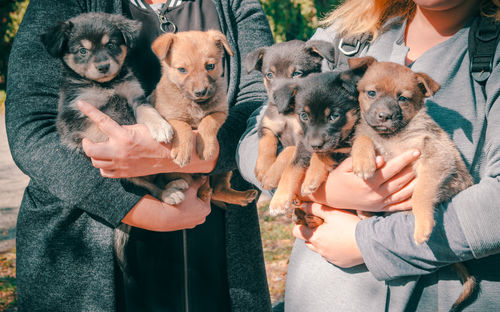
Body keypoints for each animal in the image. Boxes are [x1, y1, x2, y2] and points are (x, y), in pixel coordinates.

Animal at [148, 30, 258, 207]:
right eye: (182, 69)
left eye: (210, 66)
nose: (200, 92)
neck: (195, 104)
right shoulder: (168, 116)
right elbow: (183, 126)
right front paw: (182, 149)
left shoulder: (220, 112)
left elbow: (208, 122)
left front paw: (206, 147)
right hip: (178, 175)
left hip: (224, 170)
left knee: (219, 189)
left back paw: (240, 196)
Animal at [243, 40, 336, 189]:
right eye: (269, 75)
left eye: (297, 73)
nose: (278, 97)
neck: (289, 114)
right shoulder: (267, 125)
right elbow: (265, 144)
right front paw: (263, 168)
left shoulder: (304, 141)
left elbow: (289, 157)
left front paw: (272, 177)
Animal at [350, 56, 474, 310]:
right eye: (371, 93)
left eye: (402, 98)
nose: (384, 116)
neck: (392, 137)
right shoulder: (376, 140)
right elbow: (364, 136)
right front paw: (362, 160)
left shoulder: (434, 158)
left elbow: (421, 193)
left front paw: (423, 226)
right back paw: (364, 212)